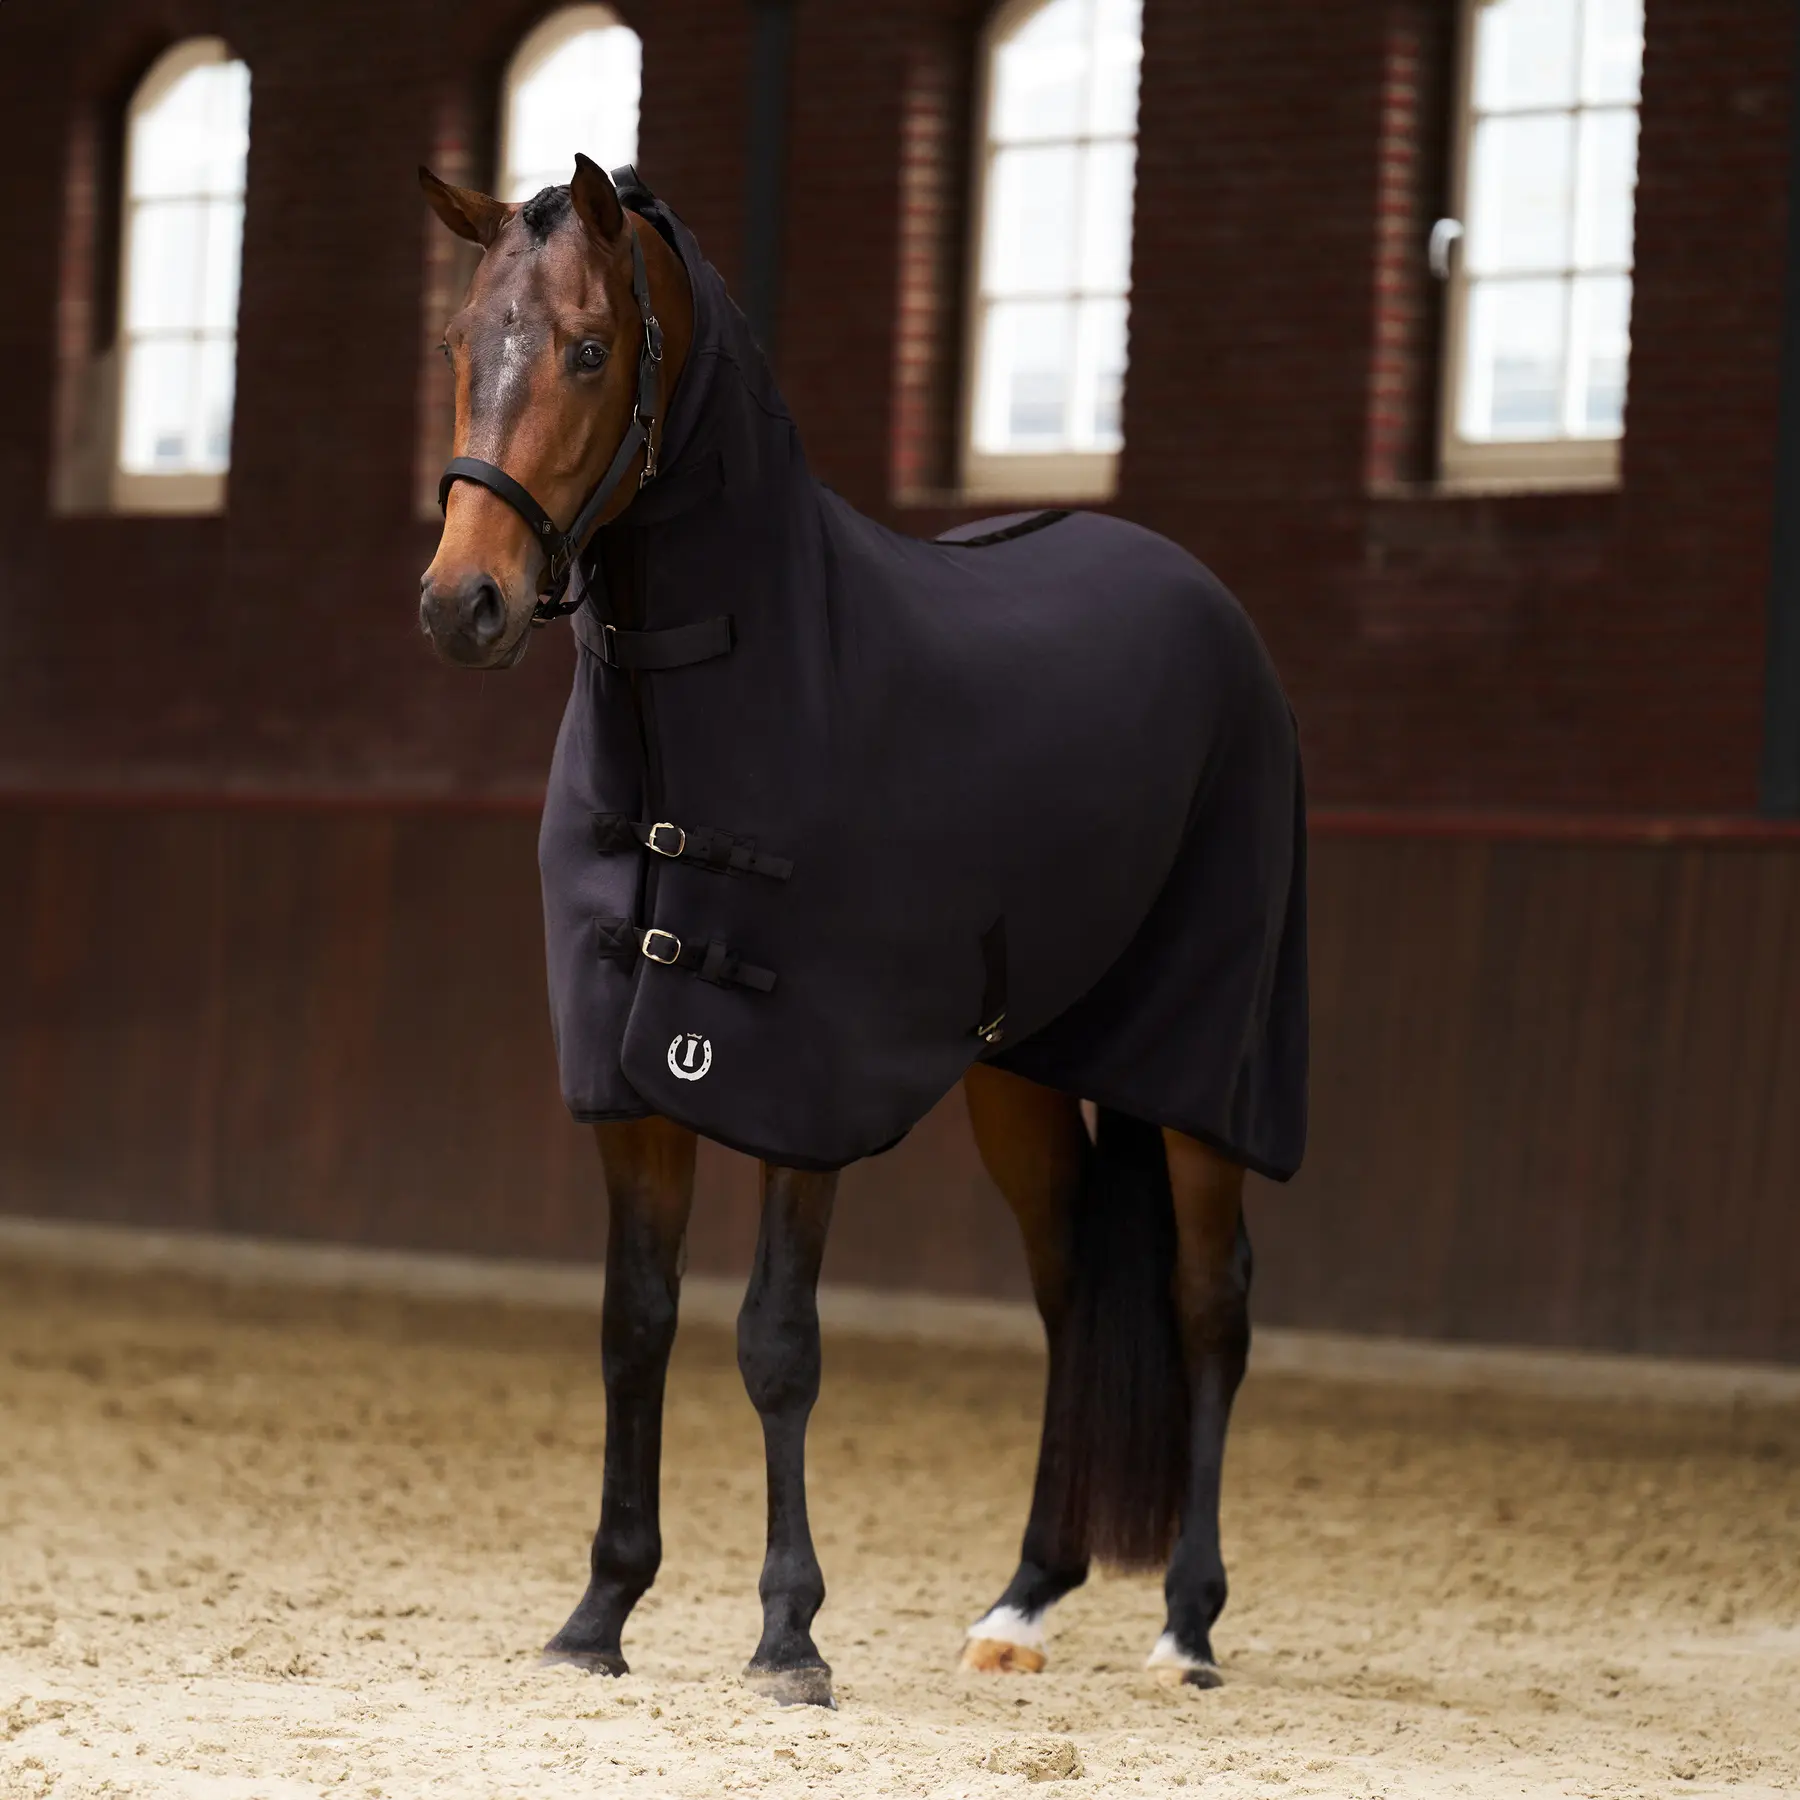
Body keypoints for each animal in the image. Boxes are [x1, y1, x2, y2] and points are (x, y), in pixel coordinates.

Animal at [416, 153, 1306, 1709]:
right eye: (465, 346)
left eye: (587, 350)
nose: (464, 604)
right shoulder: (632, 1096)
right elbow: (634, 1328)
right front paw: (600, 1614)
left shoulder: (796, 1092)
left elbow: (777, 1343)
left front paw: (789, 1635)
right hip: (1022, 1073)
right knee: (1073, 1295)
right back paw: (1023, 1601)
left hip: (1206, 1075)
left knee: (1210, 1306)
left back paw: (1186, 1627)